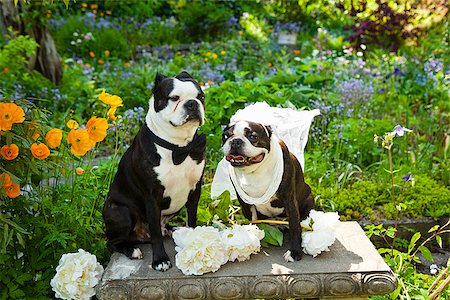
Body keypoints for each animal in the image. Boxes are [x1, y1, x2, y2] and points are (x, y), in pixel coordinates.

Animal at [102, 71, 206, 272]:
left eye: (201, 97)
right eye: (174, 98)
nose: (192, 103)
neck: (178, 147)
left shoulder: (195, 189)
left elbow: (192, 219)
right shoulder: (152, 196)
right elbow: (156, 234)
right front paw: (160, 260)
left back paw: (174, 230)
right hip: (121, 212)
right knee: (113, 242)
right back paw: (131, 249)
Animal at [221, 120, 312, 262]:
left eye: (253, 137)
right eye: (226, 135)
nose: (235, 141)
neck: (255, 171)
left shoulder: (290, 200)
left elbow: (294, 226)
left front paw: (295, 252)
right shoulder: (244, 202)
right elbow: (252, 220)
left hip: (308, 197)